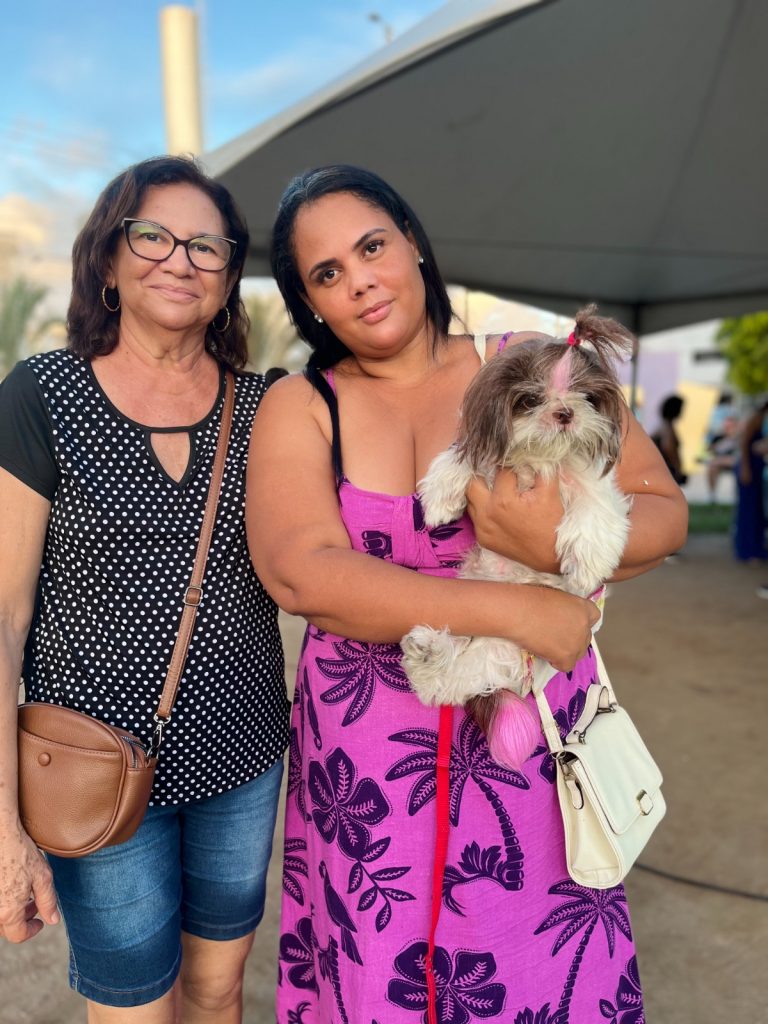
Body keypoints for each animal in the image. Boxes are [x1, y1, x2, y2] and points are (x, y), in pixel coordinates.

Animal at [400, 306, 634, 769]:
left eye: (586, 397)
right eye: (530, 399)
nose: (564, 412)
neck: (539, 461)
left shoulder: (592, 487)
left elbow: (593, 512)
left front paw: (586, 565)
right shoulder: (488, 455)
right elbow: (462, 458)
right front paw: (440, 496)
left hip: (500, 649)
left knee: (450, 683)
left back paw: (429, 657)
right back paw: (428, 652)